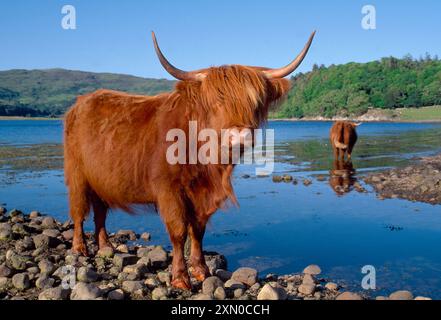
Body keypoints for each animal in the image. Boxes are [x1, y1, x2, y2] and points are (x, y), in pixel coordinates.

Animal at [63, 30, 314, 290]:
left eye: (254, 103)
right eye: (216, 102)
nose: (239, 135)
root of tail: (82, 102)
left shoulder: (202, 194)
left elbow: (198, 230)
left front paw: (201, 270)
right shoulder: (169, 190)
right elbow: (178, 231)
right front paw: (181, 277)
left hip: (100, 179)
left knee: (100, 212)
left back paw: (105, 247)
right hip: (77, 174)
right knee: (79, 211)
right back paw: (80, 248)